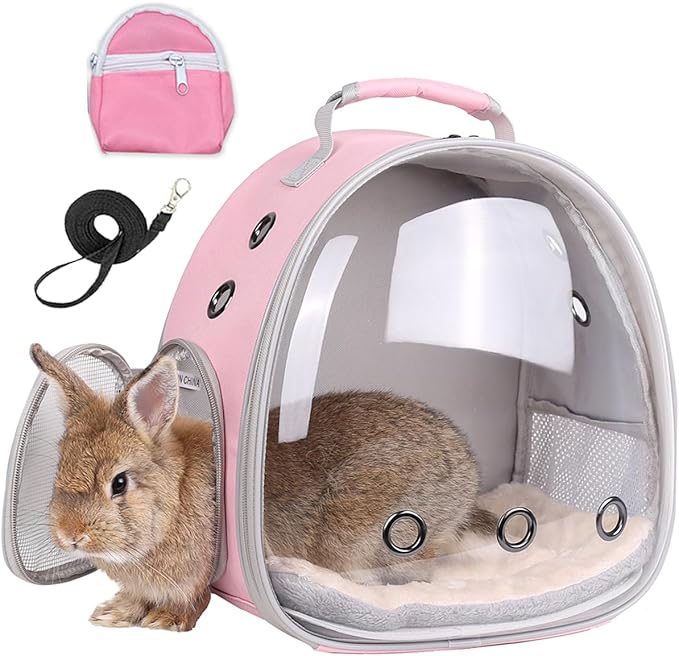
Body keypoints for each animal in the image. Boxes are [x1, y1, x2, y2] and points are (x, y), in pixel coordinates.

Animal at [30, 344, 216, 632]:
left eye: (119, 483)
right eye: (60, 468)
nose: (70, 534)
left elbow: (194, 597)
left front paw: (166, 619)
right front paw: (113, 614)